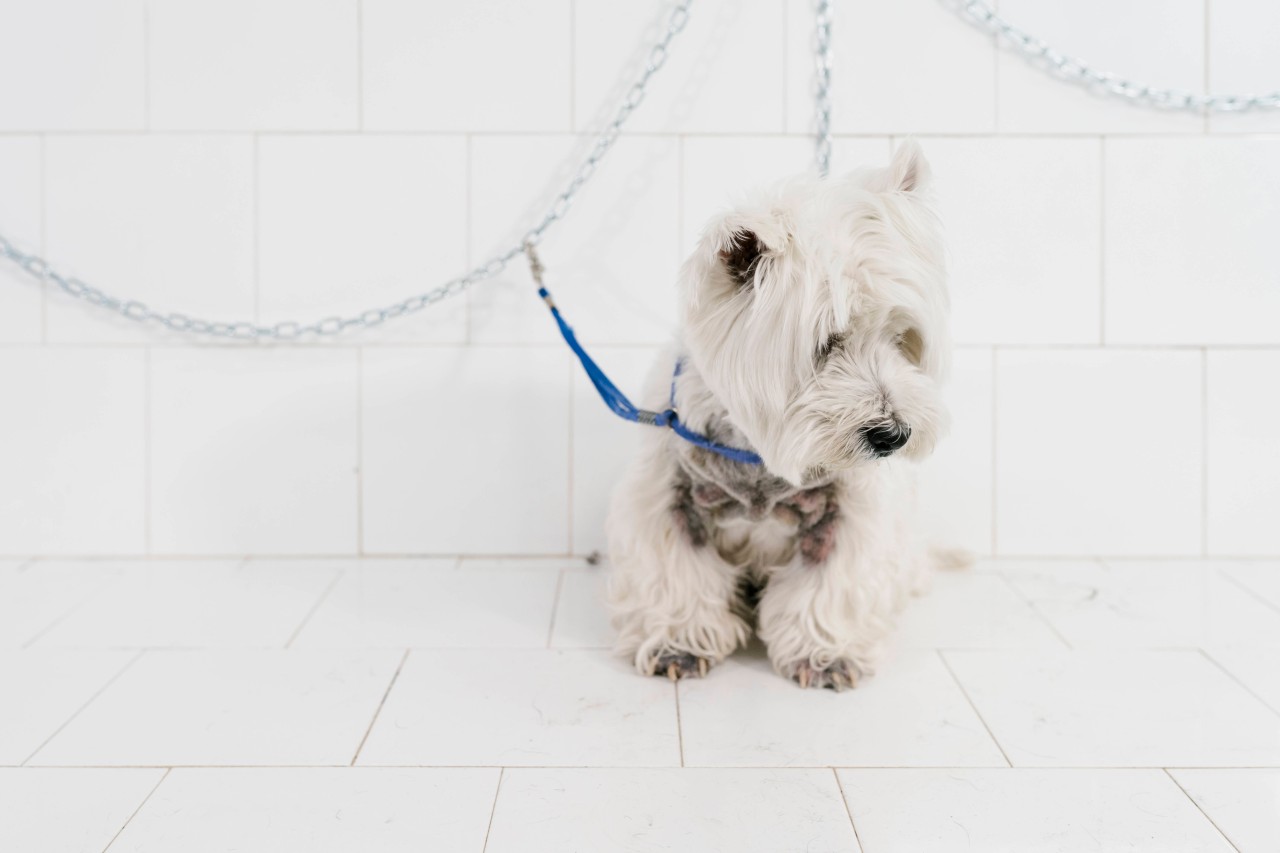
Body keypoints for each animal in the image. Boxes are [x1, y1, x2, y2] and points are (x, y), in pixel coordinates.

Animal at [606, 139, 952, 686]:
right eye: (825, 345)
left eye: (901, 339)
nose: (893, 435)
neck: (760, 453)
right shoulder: (668, 500)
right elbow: (675, 572)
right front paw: (678, 643)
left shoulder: (845, 515)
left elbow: (828, 583)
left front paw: (825, 654)